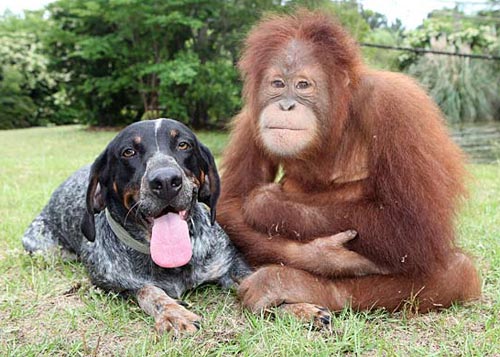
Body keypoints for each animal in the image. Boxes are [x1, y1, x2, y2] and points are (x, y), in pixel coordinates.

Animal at [22, 119, 250, 334]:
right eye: (128, 152)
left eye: (184, 145)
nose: (166, 181)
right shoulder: (114, 285)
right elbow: (148, 291)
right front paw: (173, 313)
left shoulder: (230, 263)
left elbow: (249, 277)